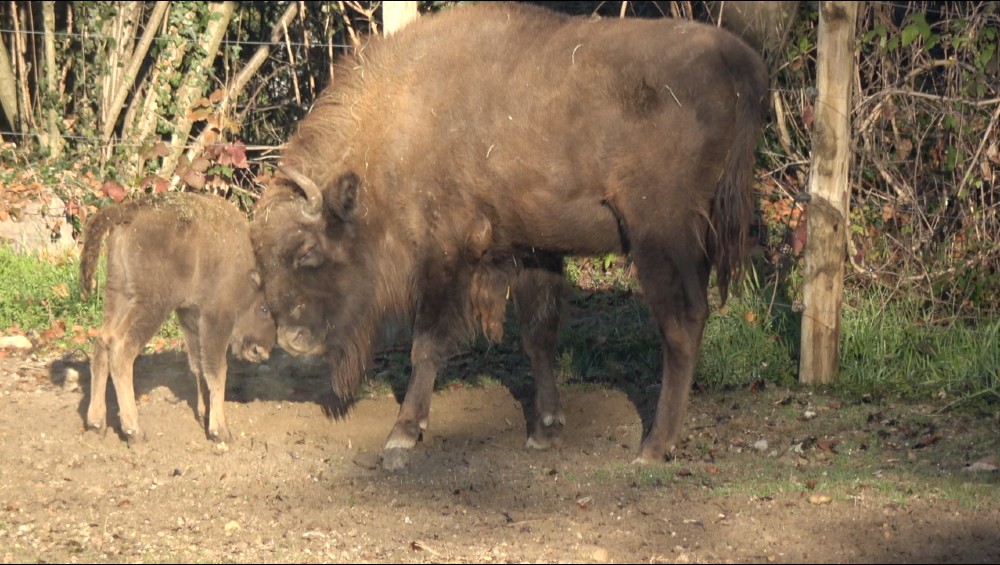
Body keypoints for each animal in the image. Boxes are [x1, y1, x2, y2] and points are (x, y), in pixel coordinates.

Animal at [80, 192, 276, 442]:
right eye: (264, 309)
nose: (262, 351)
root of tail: (128, 210)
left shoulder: (190, 317)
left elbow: (198, 366)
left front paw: (204, 414)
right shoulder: (216, 318)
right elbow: (217, 370)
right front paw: (220, 431)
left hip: (118, 295)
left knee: (102, 341)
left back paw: (97, 423)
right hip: (151, 304)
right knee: (121, 348)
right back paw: (135, 431)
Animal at [250, 1, 764, 462]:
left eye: (308, 252)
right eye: (262, 264)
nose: (291, 339)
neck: (403, 118)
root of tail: (739, 64)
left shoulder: (444, 255)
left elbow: (426, 343)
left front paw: (403, 435)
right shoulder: (533, 249)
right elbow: (537, 335)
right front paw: (546, 430)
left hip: (659, 235)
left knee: (681, 323)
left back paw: (654, 448)